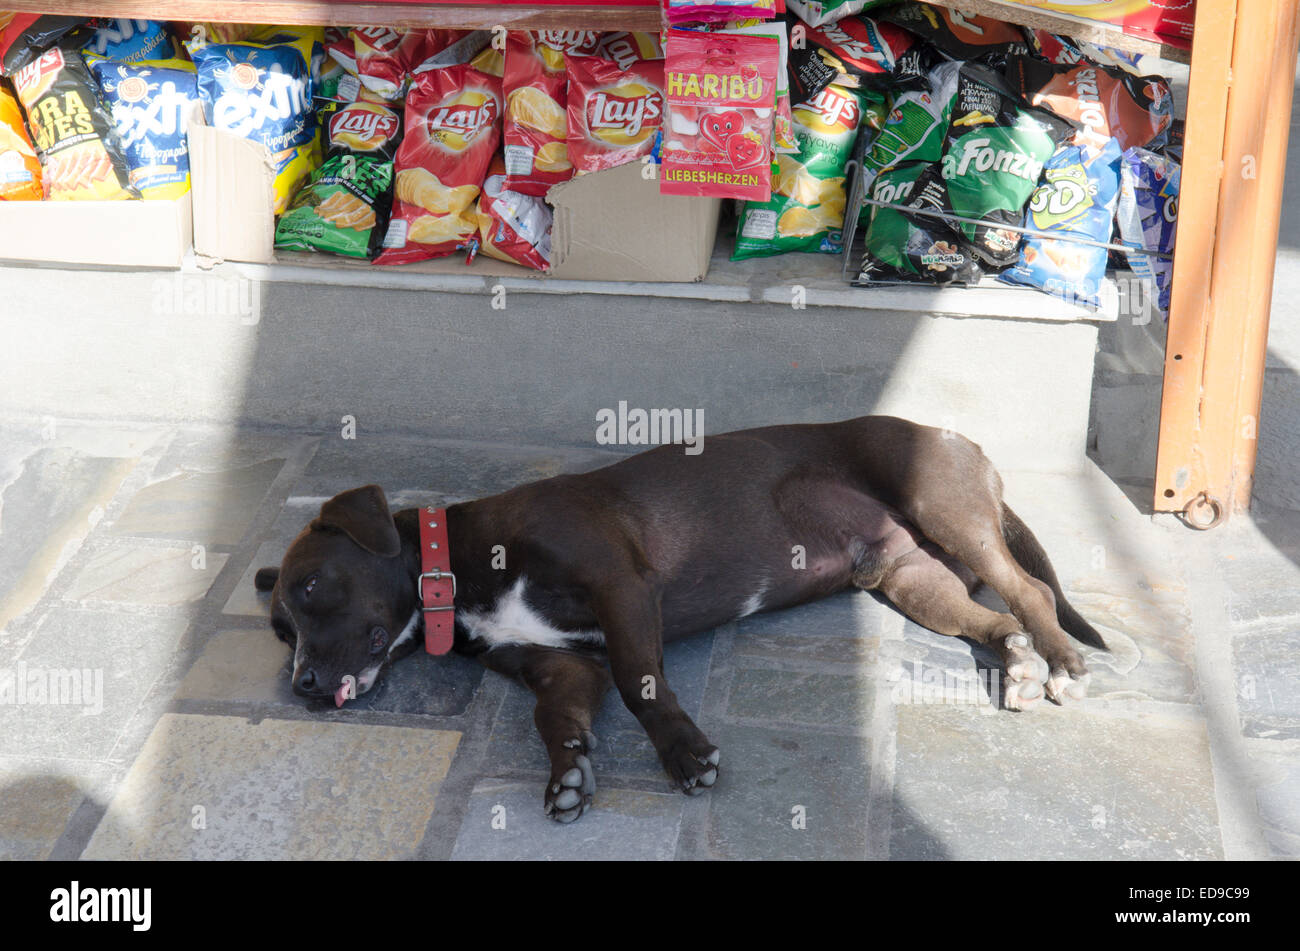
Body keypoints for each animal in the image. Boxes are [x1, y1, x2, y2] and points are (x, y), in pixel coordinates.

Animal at [256, 415, 1107, 826]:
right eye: (278, 629)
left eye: (312, 586)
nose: (301, 685)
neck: (456, 568)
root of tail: (958, 437)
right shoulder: (557, 665)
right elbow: (555, 716)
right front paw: (568, 773)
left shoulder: (620, 585)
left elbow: (641, 682)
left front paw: (683, 752)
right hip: (907, 574)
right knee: (988, 619)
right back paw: (1017, 663)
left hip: (946, 510)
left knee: (1031, 591)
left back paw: (1060, 661)